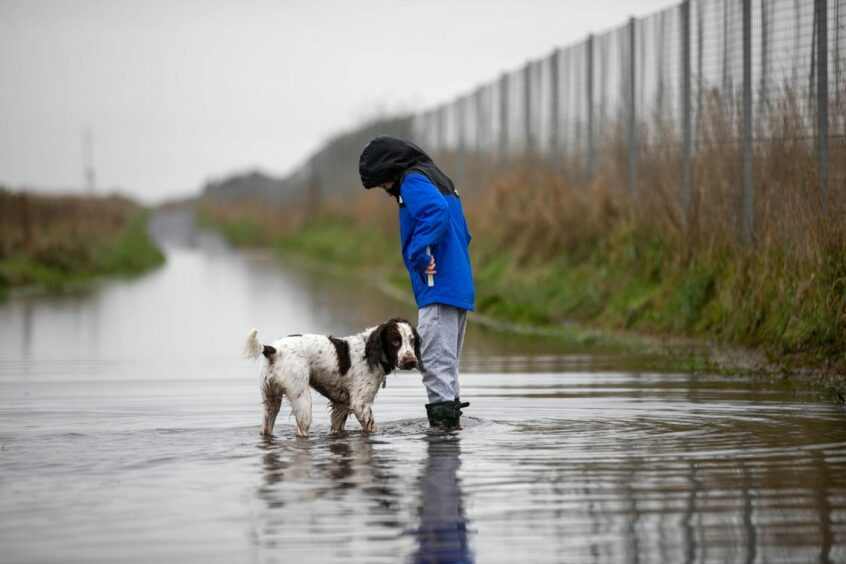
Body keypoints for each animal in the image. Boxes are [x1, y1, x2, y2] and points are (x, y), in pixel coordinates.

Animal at [243, 318, 422, 436]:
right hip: (302, 401)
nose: (411, 361)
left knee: (266, 429)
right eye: (395, 341)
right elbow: (374, 428)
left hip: (271, 401)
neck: (370, 352)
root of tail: (273, 349)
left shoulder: (341, 406)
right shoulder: (360, 404)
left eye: (412, 341)